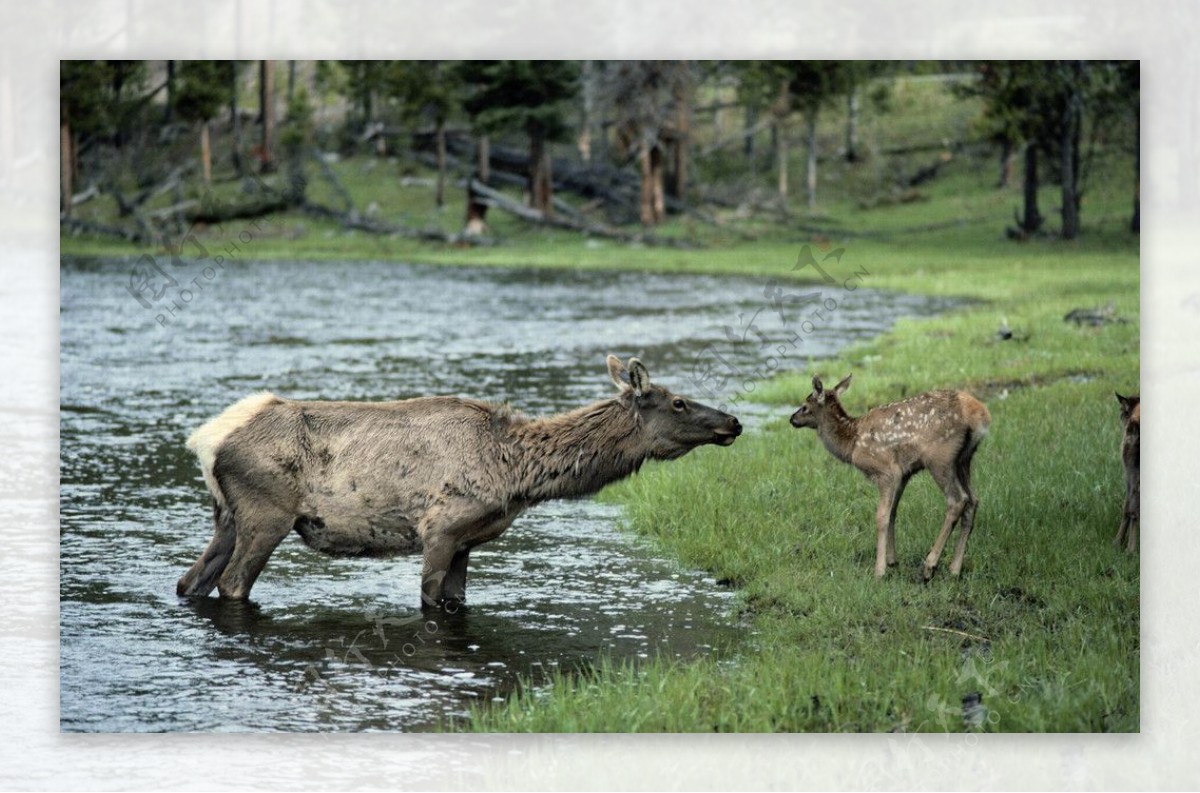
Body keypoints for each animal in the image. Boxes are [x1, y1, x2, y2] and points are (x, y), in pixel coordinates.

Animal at [176, 355, 739, 609]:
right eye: (679, 402)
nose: (733, 422)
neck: (517, 473)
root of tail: (206, 439)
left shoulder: (468, 540)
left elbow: (457, 600)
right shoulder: (441, 528)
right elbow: (430, 598)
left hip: (226, 516)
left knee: (190, 582)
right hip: (266, 513)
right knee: (231, 583)